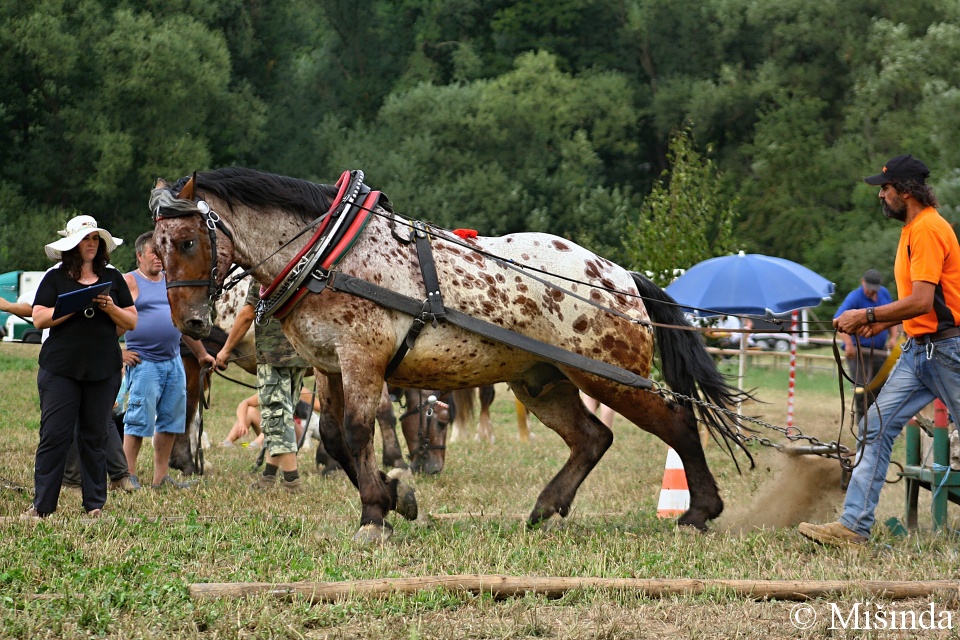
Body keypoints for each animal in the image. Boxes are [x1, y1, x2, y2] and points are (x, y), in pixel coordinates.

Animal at [150, 166, 752, 540]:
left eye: (187, 241)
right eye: (155, 247)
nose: (191, 324)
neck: (326, 254)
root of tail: (621, 277)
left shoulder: (363, 359)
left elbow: (357, 432)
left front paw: (375, 513)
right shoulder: (328, 366)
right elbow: (335, 438)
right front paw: (394, 496)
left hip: (611, 376)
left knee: (677, 423)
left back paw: (699, 511)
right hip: (541, 381)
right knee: (592, 438)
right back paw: (546, 507)